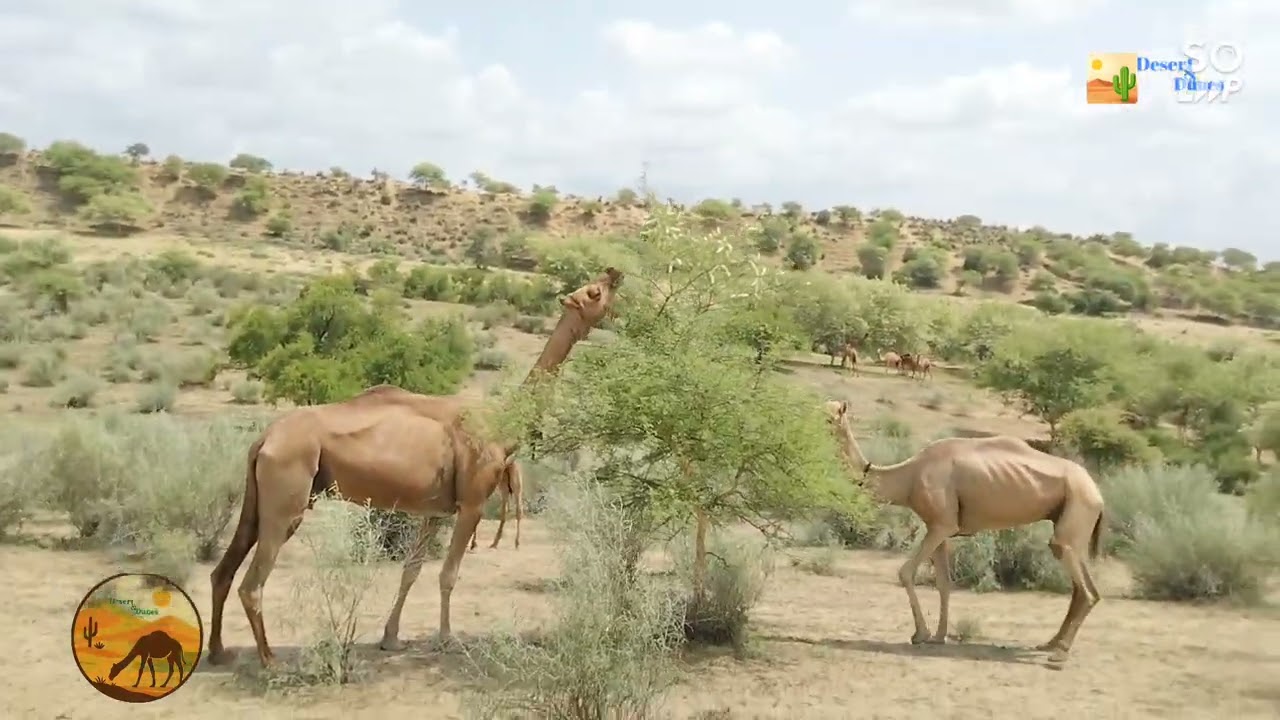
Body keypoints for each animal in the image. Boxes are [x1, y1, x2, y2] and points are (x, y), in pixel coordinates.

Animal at [208, 268, 624, 667]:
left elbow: (412, 569)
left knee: (222, 571)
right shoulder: (472, 503)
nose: (614, 274)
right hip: (287, 498)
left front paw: (390, 638)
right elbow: (448, 574)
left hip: (258, 500)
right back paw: (269, 660)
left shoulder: (434, 510)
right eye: (594, 292)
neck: (501, 423)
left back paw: (218, 651)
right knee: (252, 583)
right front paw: (446, 638)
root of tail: (264, 439)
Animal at [823, 399, 1105, 664]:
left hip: (1077, 510)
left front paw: (921, 635)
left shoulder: (942, 525)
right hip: (1073, 527)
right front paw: (938, 636)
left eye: (830, 418)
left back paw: (1060, 653)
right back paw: (1050, 643)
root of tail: (1098, 495)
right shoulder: (937, 526)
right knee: (1083, 587)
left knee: (1085, 590)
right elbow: (944, 583)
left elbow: (905, 572)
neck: (909, 477)